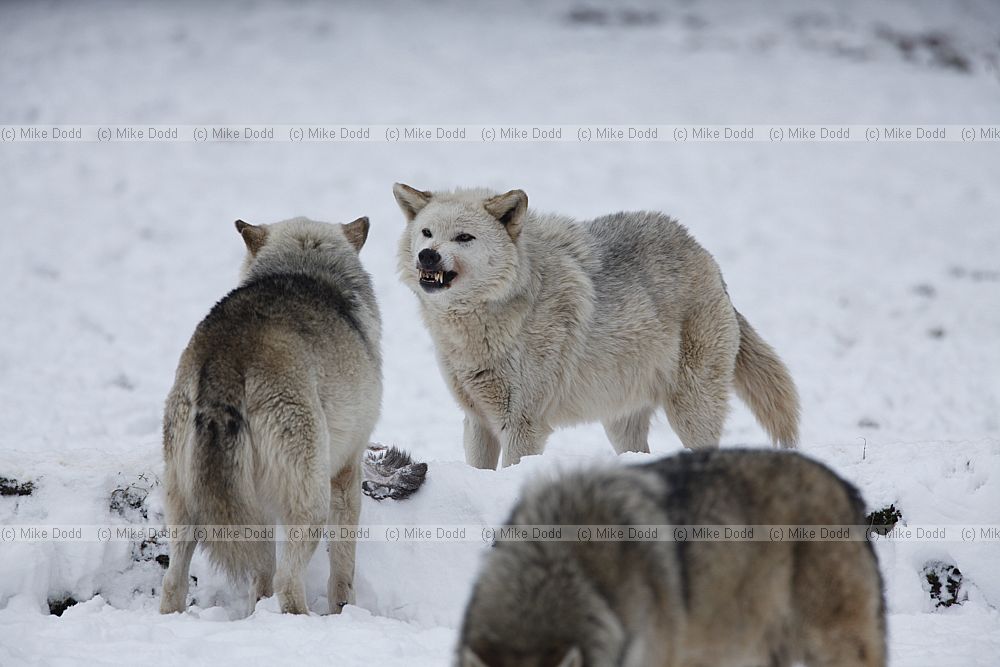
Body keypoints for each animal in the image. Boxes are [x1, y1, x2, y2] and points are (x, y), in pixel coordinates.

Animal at [159, 216, 381, 615]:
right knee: (286, 583)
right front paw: (344, 610)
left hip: (188, 505)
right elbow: (343, 568)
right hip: (312, 503)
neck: (303, 268)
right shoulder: (346, 473)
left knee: (176, 582)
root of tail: (227, 351)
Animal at [394, 185, 799, 468]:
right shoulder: (477, 420)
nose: (427, 255)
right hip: (620, 424)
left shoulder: (523, 424)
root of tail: (707, 259)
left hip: (691, 411)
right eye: (427, 233)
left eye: (464, 237)